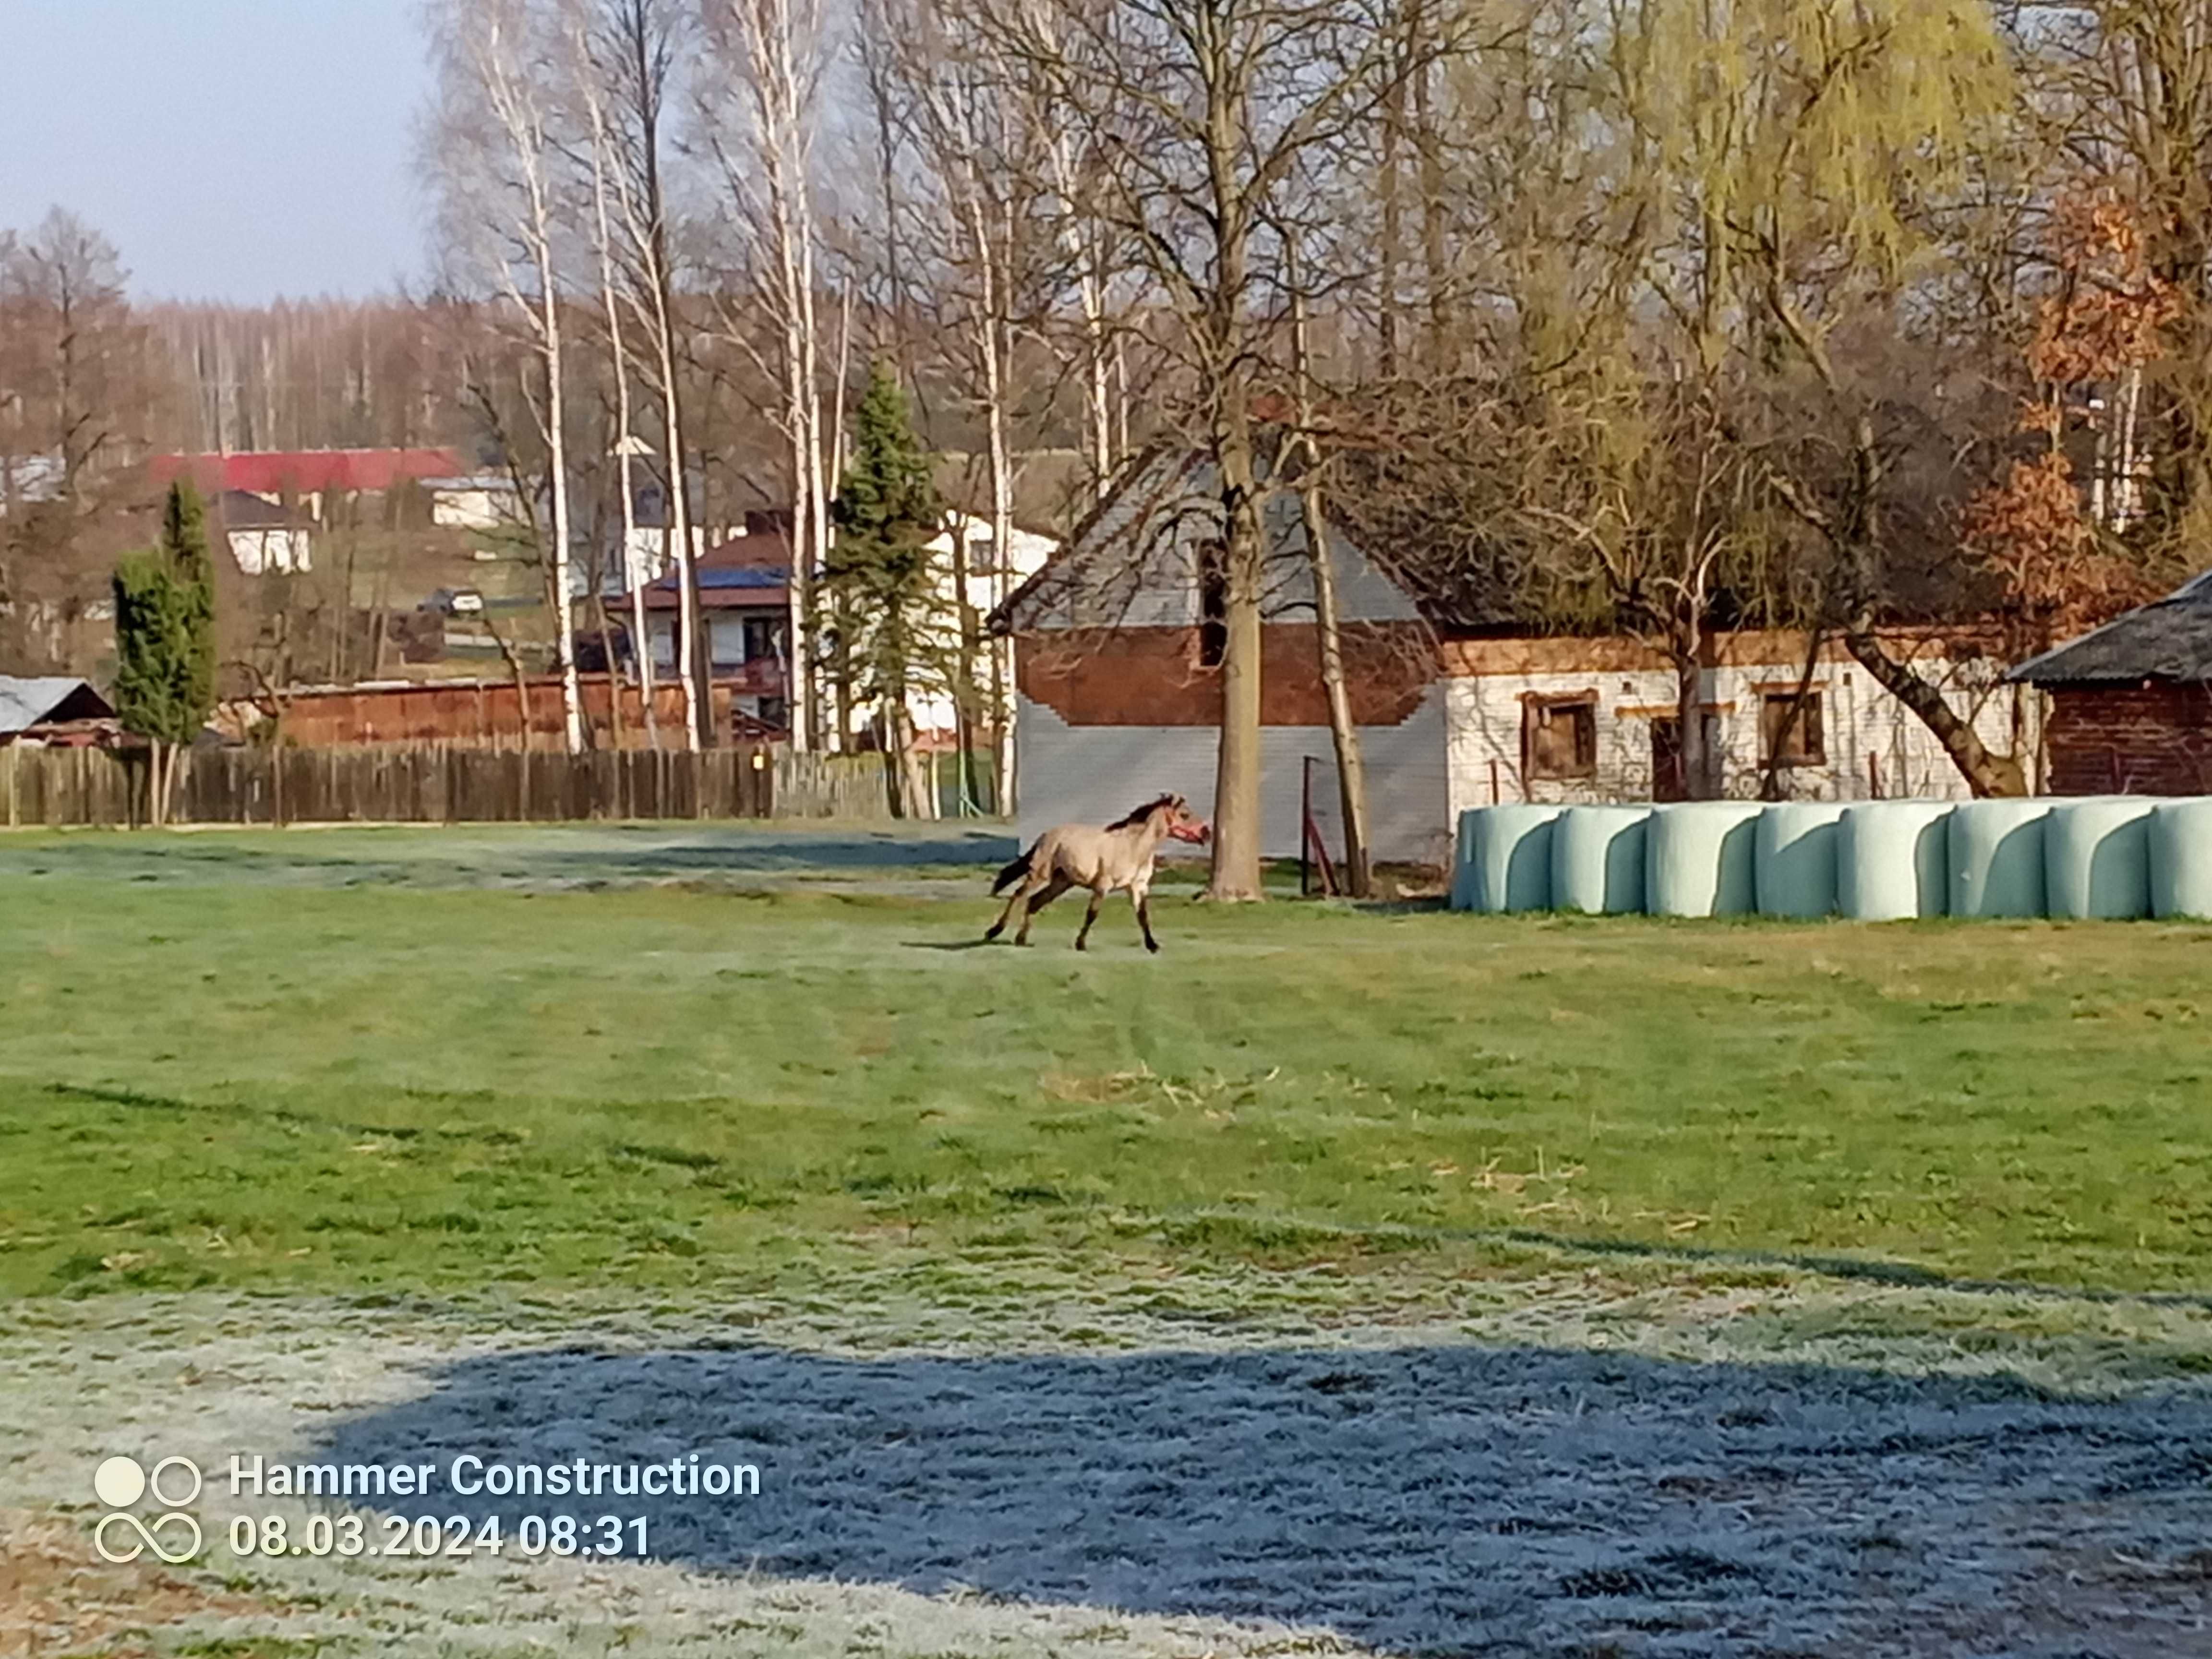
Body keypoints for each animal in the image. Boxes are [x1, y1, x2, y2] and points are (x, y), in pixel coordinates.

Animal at [995, 796, 1221, 955]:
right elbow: (1092, 914)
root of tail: (1046, 836)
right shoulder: (1102, 886)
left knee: (1034, 902)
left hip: (1062, 882)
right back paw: (995, 931)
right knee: (1019, 895)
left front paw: (1153, 946)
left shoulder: (1138, 887)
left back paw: (1021, 940)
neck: (1133, 847)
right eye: (1185, 815)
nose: (1207, 834)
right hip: (1040, 875)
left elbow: (1143, 916)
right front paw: (1081, 944)